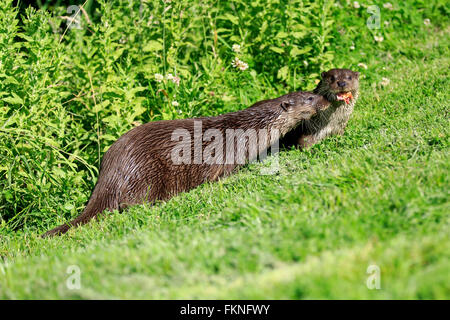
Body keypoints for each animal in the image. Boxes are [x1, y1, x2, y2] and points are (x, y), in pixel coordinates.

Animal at [43, 91, 330, 236]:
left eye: (312, 92)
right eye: (310, 99)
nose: (328, 100)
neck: (250, 129)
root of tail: (111, 170)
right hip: (146, 175)